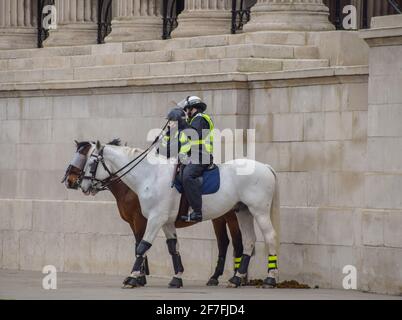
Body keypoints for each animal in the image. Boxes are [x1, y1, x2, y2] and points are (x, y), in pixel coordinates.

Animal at [79, 142, 280, 288]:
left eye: (91, 163)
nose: (83, 186)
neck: (150, 176)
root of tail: (265, 166)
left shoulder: (155, 219)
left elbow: (142, 246)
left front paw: (132, 278)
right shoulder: (166, 222)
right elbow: (173, 248)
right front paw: (177, 278)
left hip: (258, 211)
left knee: (269, 237)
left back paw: (270, 278)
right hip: (243, 211)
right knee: (249, 241)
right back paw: (237, 279)